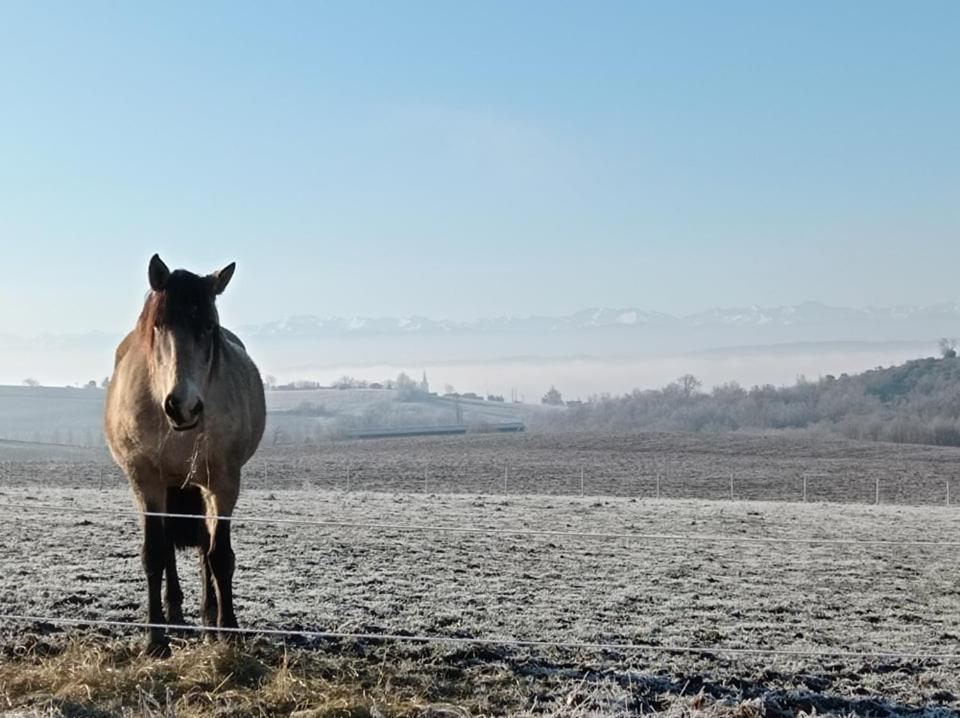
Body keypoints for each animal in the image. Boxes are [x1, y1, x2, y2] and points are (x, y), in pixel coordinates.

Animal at [104, 256, 266, 660]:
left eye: (209, 326)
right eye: (159, 325)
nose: (183, 406)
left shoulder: (223, 483)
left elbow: (219, 555)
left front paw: (228, 630)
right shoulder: (147, 482)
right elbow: (154, 554)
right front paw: (155, 638)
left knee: (205, 548)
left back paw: (208, 618)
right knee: (168, 550)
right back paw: (174, 616)